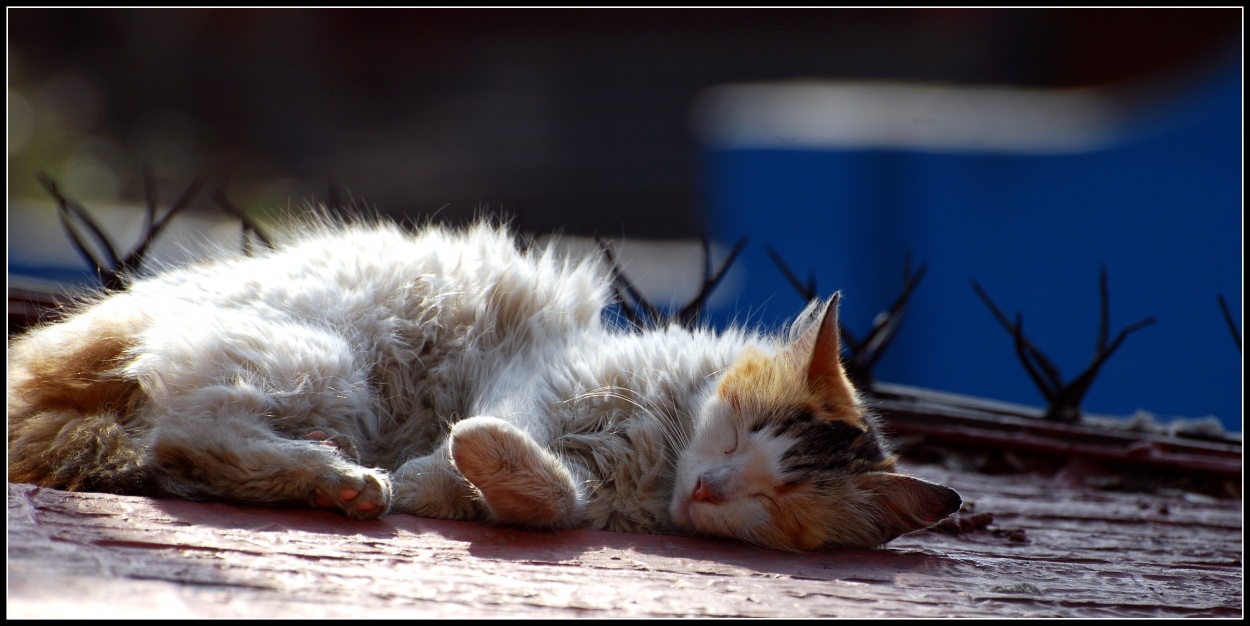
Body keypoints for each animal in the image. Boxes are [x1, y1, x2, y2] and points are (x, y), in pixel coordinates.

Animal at [7, 217, 955, 549]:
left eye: (776, 499)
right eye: (734, 434)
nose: (711, 489)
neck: (660, 455)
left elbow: (557, 501)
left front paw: (468, 484)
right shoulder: (540, 377)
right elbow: (525, 458)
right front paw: (456, 467)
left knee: (189, 453)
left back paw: (345, 485)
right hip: (316, 361)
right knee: (193, 432)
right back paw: (348, 479)